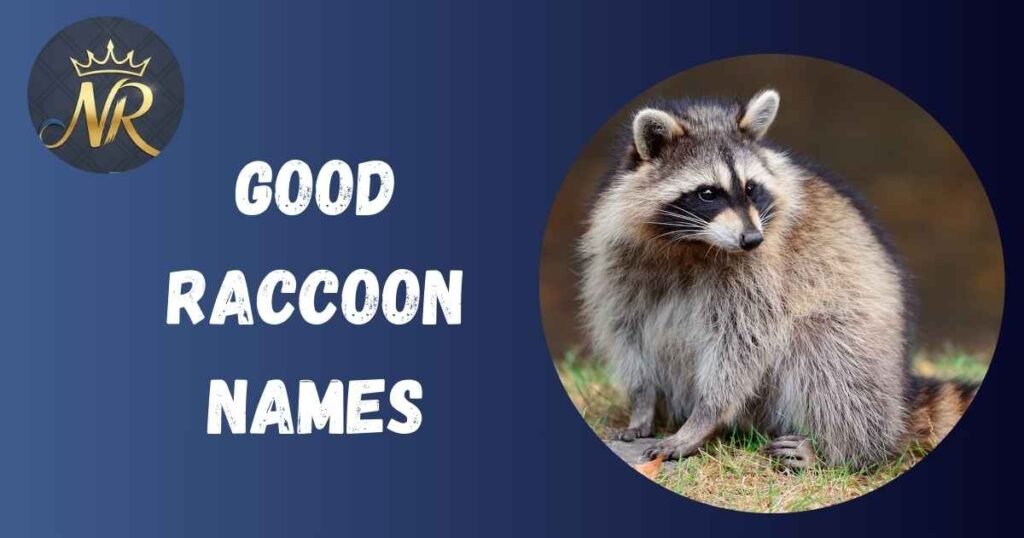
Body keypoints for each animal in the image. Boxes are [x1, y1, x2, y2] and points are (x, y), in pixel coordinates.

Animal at [579, 89, 977, 469]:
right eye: (707, 193)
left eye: (751, 188)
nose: (752, 239)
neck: (692, 243)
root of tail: (900, 394)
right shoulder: (620, 261)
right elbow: (629, 332)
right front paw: (642, 403)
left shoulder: (762, 273)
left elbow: (741, 345)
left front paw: (703, 418)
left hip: (863, 344)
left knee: (826, 354)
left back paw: (844, 450)